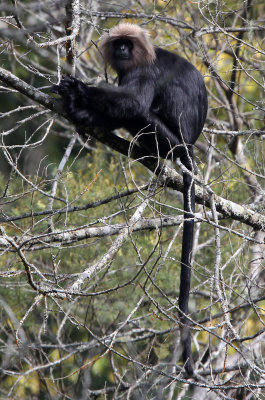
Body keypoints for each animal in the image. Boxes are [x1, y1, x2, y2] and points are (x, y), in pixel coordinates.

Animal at [53, 22, 206, 376]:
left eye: (128, 45)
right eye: (119, 44)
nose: (122, 51)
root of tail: (188, 149)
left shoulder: (143, 70)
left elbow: (134, 102)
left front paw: (78, 88)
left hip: (166, 140)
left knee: (137, 112)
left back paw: (85, 112)